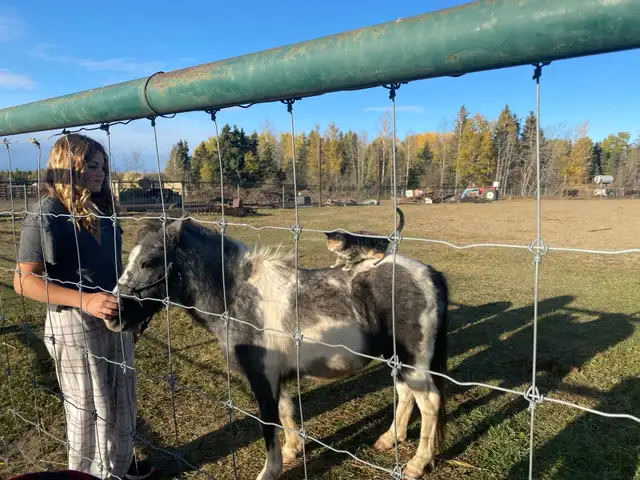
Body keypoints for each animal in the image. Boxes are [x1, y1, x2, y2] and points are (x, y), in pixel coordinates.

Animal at [110, 218, 449, 480]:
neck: (237, 296)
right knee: (406, 394)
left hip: (413, 361)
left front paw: (270, 471)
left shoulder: (262, 378)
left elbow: (268, 423)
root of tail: (430, 273)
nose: (113, 315)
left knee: (429, 402)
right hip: (397, 358)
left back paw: (417, 464)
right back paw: (390, 439)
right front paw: (291, 451)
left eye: (148, 262)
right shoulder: (276, 377)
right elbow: (285, 412)